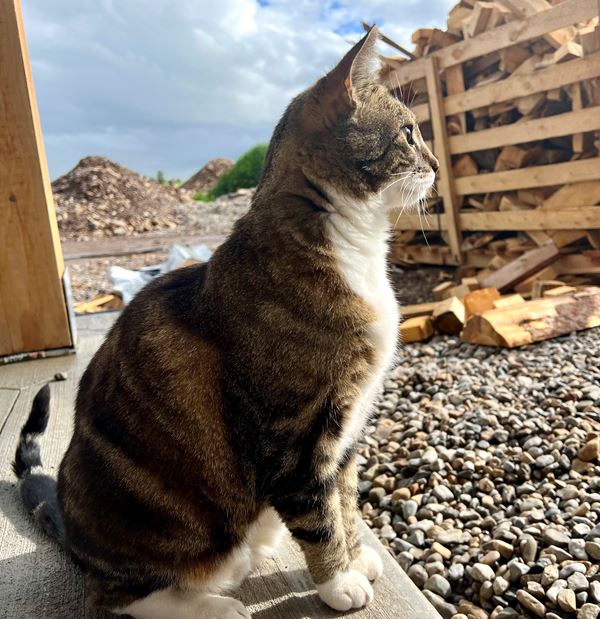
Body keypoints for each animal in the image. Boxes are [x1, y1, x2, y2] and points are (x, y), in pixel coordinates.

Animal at [14, 26, 438, 619]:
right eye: (408, 132)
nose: (437, 163)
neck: (347, 248)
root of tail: (74, 540)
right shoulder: (295, 439)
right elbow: (319, 516)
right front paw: (339, 581)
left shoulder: (345, 435)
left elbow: (346, 503)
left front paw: (357, 557)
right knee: (119, 598)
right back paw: (213, 606)